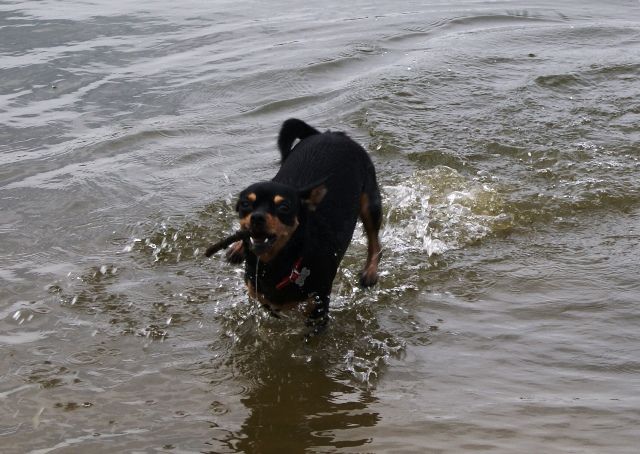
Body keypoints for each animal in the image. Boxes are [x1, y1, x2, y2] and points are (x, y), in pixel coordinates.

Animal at [214, 118, 382, 333]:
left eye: (284, 207)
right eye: (245, 204)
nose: (257, 217)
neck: (277, 262)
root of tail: (330, 134)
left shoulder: (319, 302)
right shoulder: (257, 288)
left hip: (370, 200)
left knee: (374, 240)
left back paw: (370, 272)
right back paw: (237, 249)